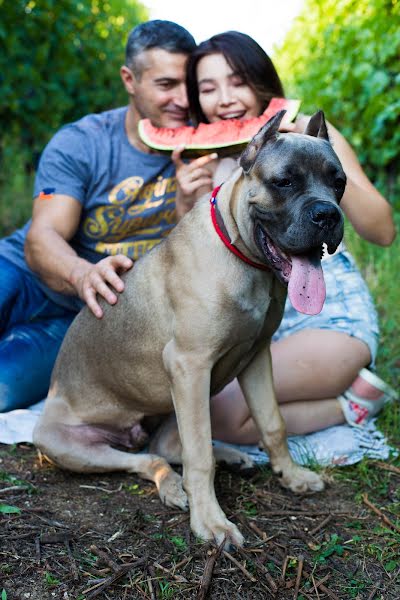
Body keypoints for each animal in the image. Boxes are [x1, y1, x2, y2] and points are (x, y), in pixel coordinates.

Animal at [33, 110, 344, 548]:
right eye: (284, 181)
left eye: (339, 182)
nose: (328, 215)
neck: (244, 259)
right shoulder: (189, 366)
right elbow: (198, 455)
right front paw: (211, 522)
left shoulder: (256, 357)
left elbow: (273, 423)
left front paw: (291, 475)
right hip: (68, 443)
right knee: (151, 459)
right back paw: (175, 486)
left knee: (166, 446)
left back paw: (229, 455)